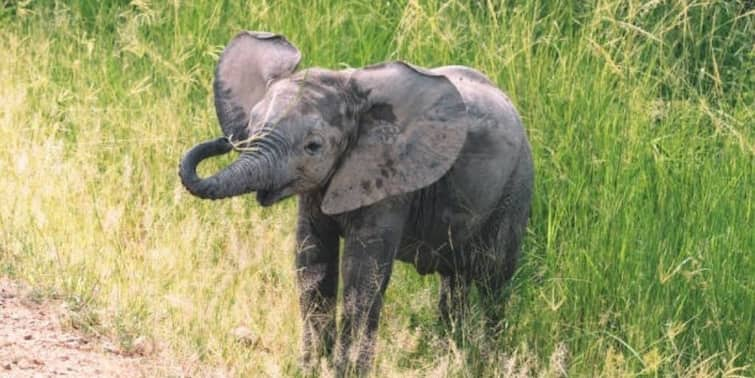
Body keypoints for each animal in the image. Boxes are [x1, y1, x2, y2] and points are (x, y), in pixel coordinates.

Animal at [179, 31, 536, 374]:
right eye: (253, 126)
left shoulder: (390, 178)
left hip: (516, 186)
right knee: (455, 281)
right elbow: (312, 263)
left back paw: (485, 360)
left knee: (493, 280)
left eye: (313, 146)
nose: (224, 142)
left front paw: (346, 371)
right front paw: (310, 369)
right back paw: (453, 353)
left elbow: (362, 273)